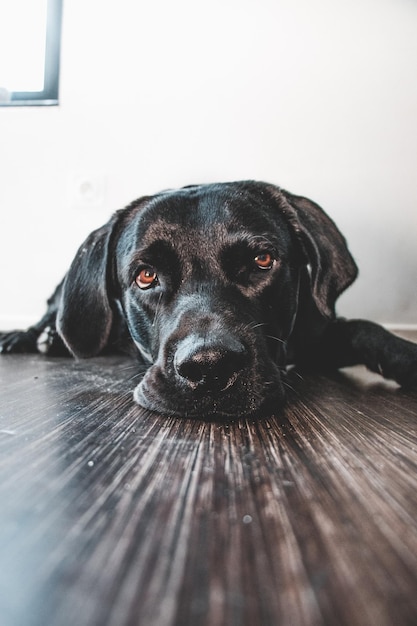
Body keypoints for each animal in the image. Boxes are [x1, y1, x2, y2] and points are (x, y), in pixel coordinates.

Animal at [0, 180, 416, 414]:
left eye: (262, 261)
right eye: (146, 276)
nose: (210, 367)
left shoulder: (315, 333)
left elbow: (366, 330)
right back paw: (27, 337)